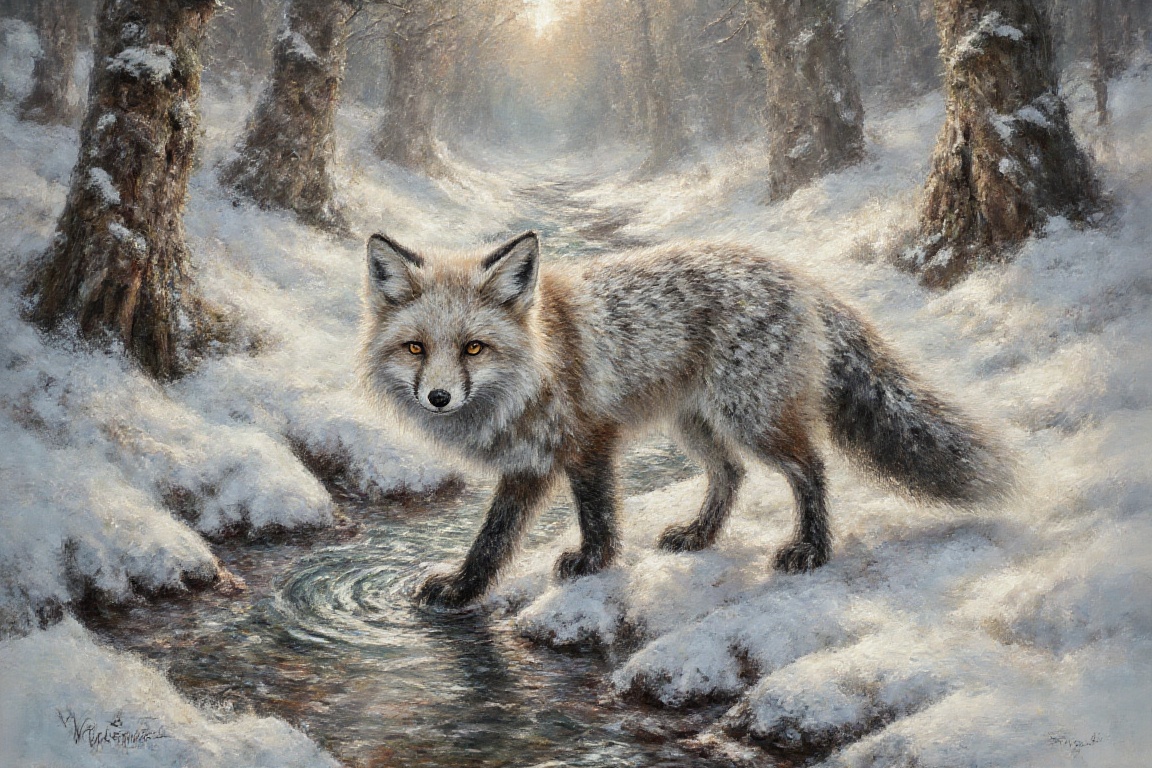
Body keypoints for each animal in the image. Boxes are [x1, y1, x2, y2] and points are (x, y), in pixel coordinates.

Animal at [360, 231, 1010, 608]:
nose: (438, 397)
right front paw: (463, 588)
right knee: (731, 473)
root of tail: (797, 274)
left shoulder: (586, 441)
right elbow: (494, 538)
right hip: (696, 424)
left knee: (812, 470)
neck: (538, 362)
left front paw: (592, 565)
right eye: (416, 348)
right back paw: (701, 536)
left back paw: (812, 549)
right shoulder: (531, 461)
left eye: (474, 348)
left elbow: (593, 514)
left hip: (754, 418)